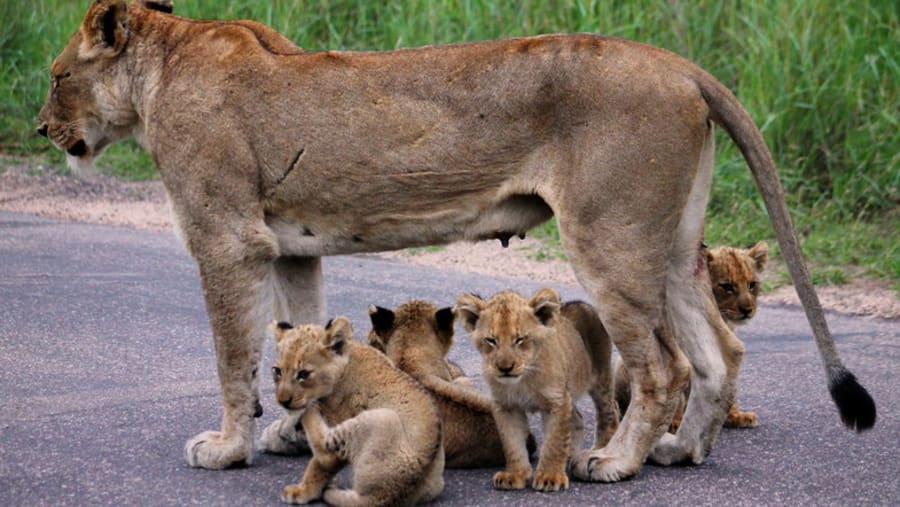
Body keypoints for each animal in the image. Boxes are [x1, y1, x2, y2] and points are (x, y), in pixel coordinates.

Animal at [271, 318, 444, 506]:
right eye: (277, 371)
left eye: (303, 374)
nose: (283, 401)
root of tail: (388, 496)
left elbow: (321, 465)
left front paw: (302, 492)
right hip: (435, 482)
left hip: (383, 417)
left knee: (325, 450)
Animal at [455, 289, 618, 491]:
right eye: (491, 341)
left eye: (520, 339)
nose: (505, 368)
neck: (522, 380)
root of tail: (579, 303)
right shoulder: (506, 407)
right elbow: (512, 443)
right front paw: (514, 475)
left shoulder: (556, 402)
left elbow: (554, 442)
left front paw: (550, 477)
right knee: (578, 419)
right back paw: (570, 456)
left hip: (600, 379)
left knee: (609, 412)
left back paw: (600, 450)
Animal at [614, 241, 769, 431]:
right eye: (727, 287)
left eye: (752, 285)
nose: (748, 310)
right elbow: (679, 392)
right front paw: (675, 422)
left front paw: (735, 415)